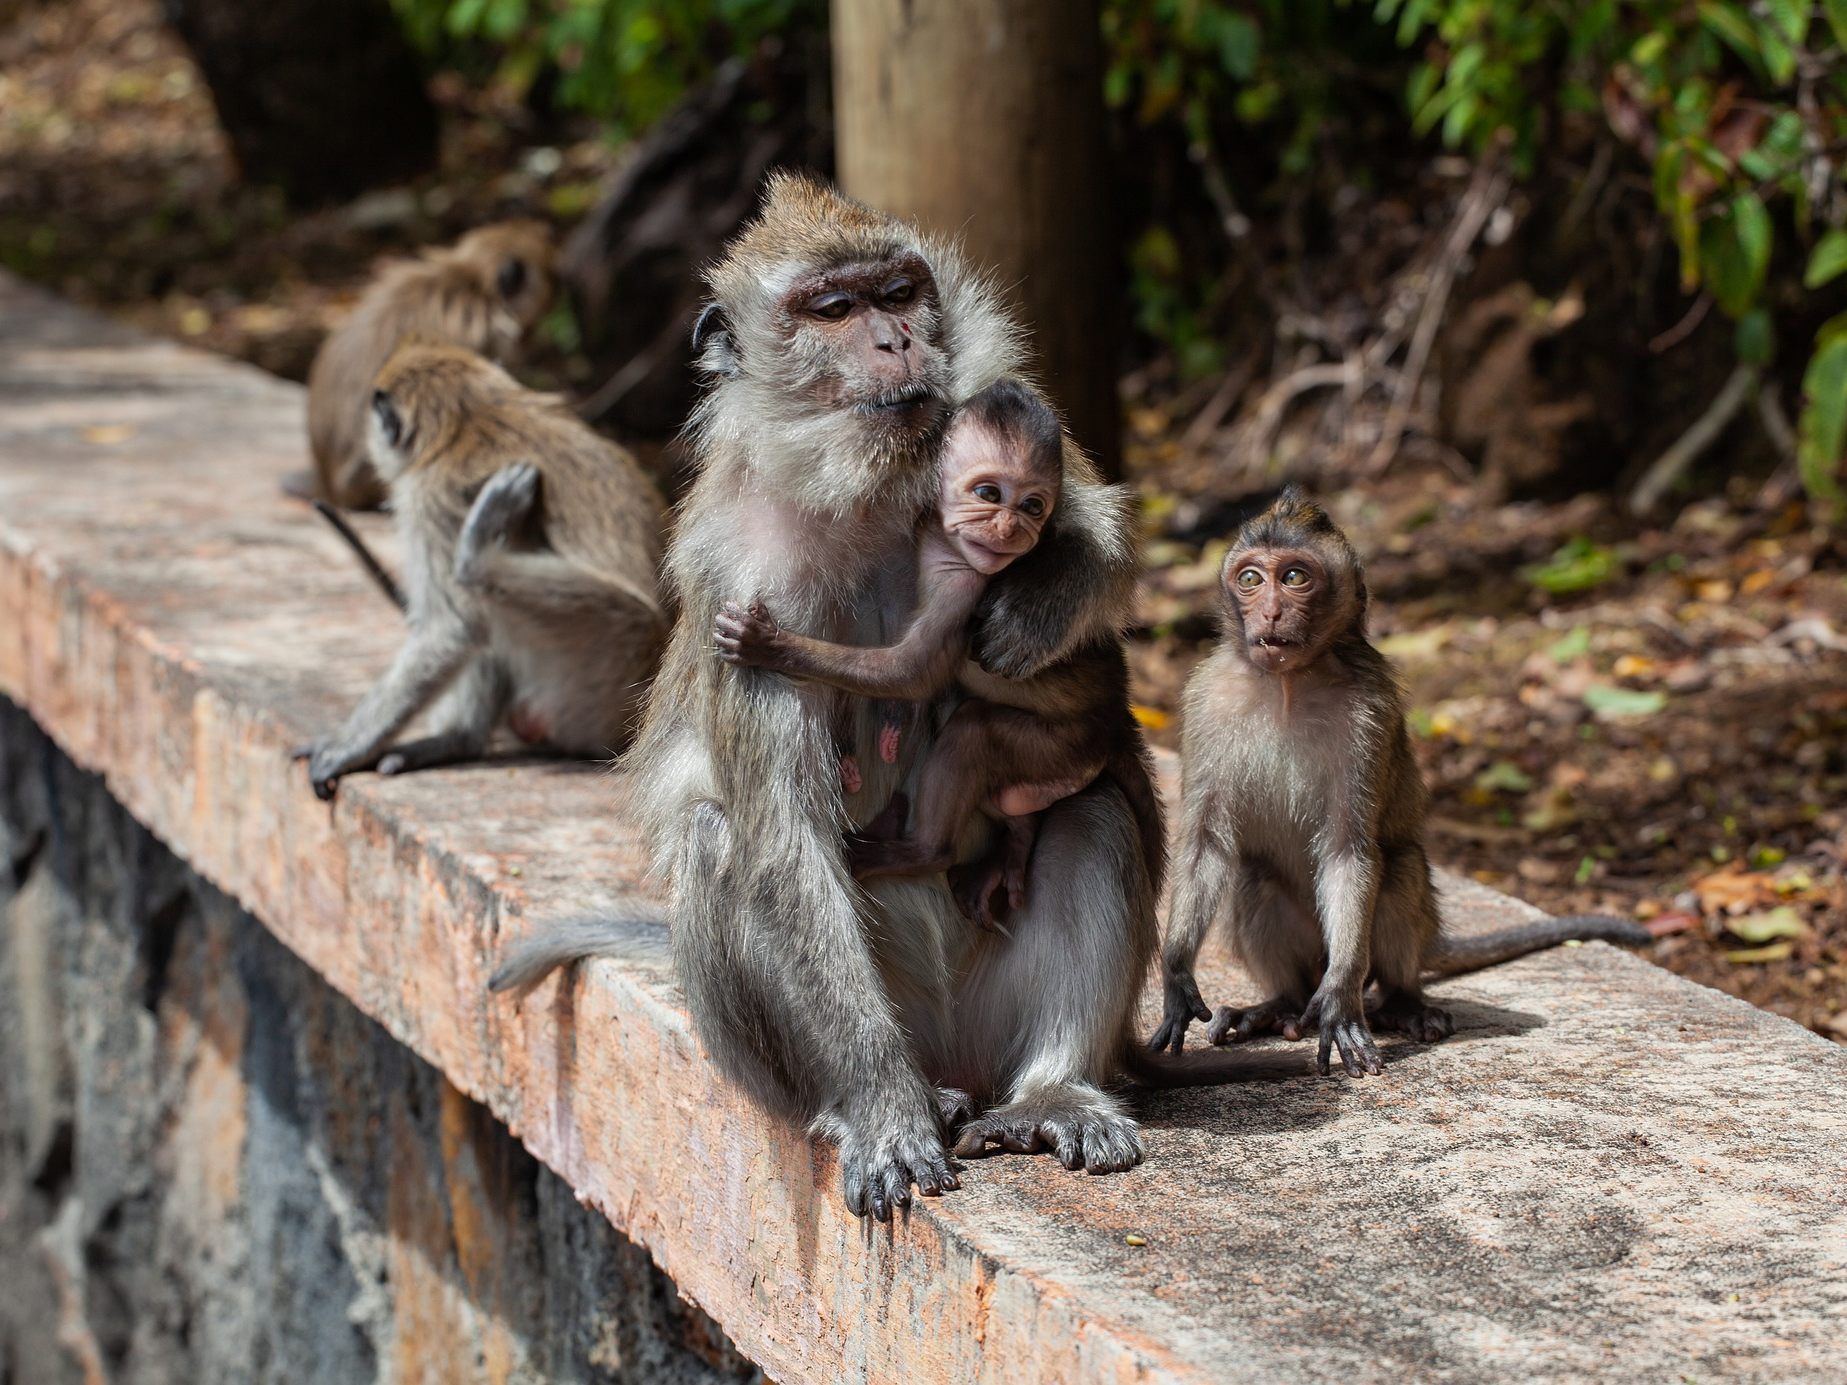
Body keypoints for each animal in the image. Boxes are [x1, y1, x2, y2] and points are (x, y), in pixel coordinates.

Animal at [302, 341, 672, 801]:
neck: (472, 416)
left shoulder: (428, 497)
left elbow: (451, 629)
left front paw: (350, 747)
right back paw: (459, 740)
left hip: (605, 669)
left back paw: (478, 559)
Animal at [712, 376, 1145, 934]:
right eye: (989, 494)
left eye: (1033, 506)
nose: (1010, 530)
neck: (943, 539)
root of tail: (1114, 719)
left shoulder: (965, 584)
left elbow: (913, 671)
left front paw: (769, 646)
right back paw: (1017, 840)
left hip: (1064, 746)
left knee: (973, 733)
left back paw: (925, 852)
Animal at [1145, 494, 1654, 1078]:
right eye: (1250, 578)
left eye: (1295, 577)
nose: (1269, 612)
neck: (1289, 682)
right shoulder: (1206, 699)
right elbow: (1206, 844)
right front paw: (1176, 976)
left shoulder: (1371, 709)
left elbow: (1350, 849)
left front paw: (1340, 1001)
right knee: (1255, 877)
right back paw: (1280, 1006)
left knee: (1399, 867)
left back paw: (1401, 1002)